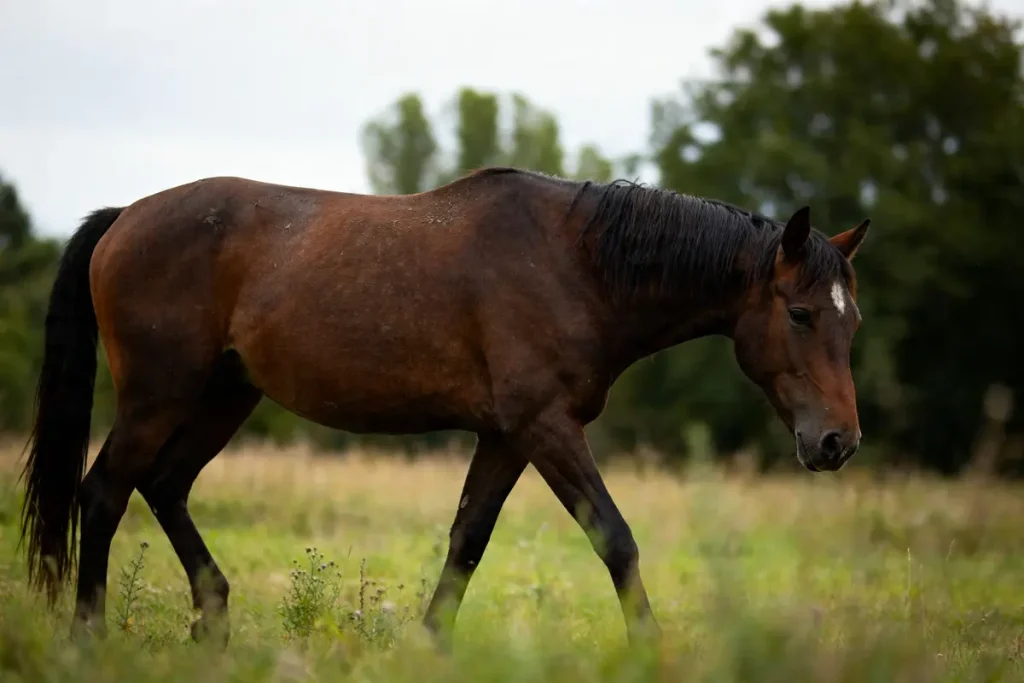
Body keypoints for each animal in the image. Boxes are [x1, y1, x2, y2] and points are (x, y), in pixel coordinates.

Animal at [18, 166, 869, 648]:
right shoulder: (545, 426)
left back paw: (214, 620)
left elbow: (467, 541)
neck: (580, 264)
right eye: (800, 314)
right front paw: (651, 649)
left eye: (851, 319)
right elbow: (616, 539)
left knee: (163, 485)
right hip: (158, 396)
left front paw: (429, 645)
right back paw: (89, 637)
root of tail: (124, 217)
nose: (838, 442)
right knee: (104, 492)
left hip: (224, 395)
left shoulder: (506, 436)